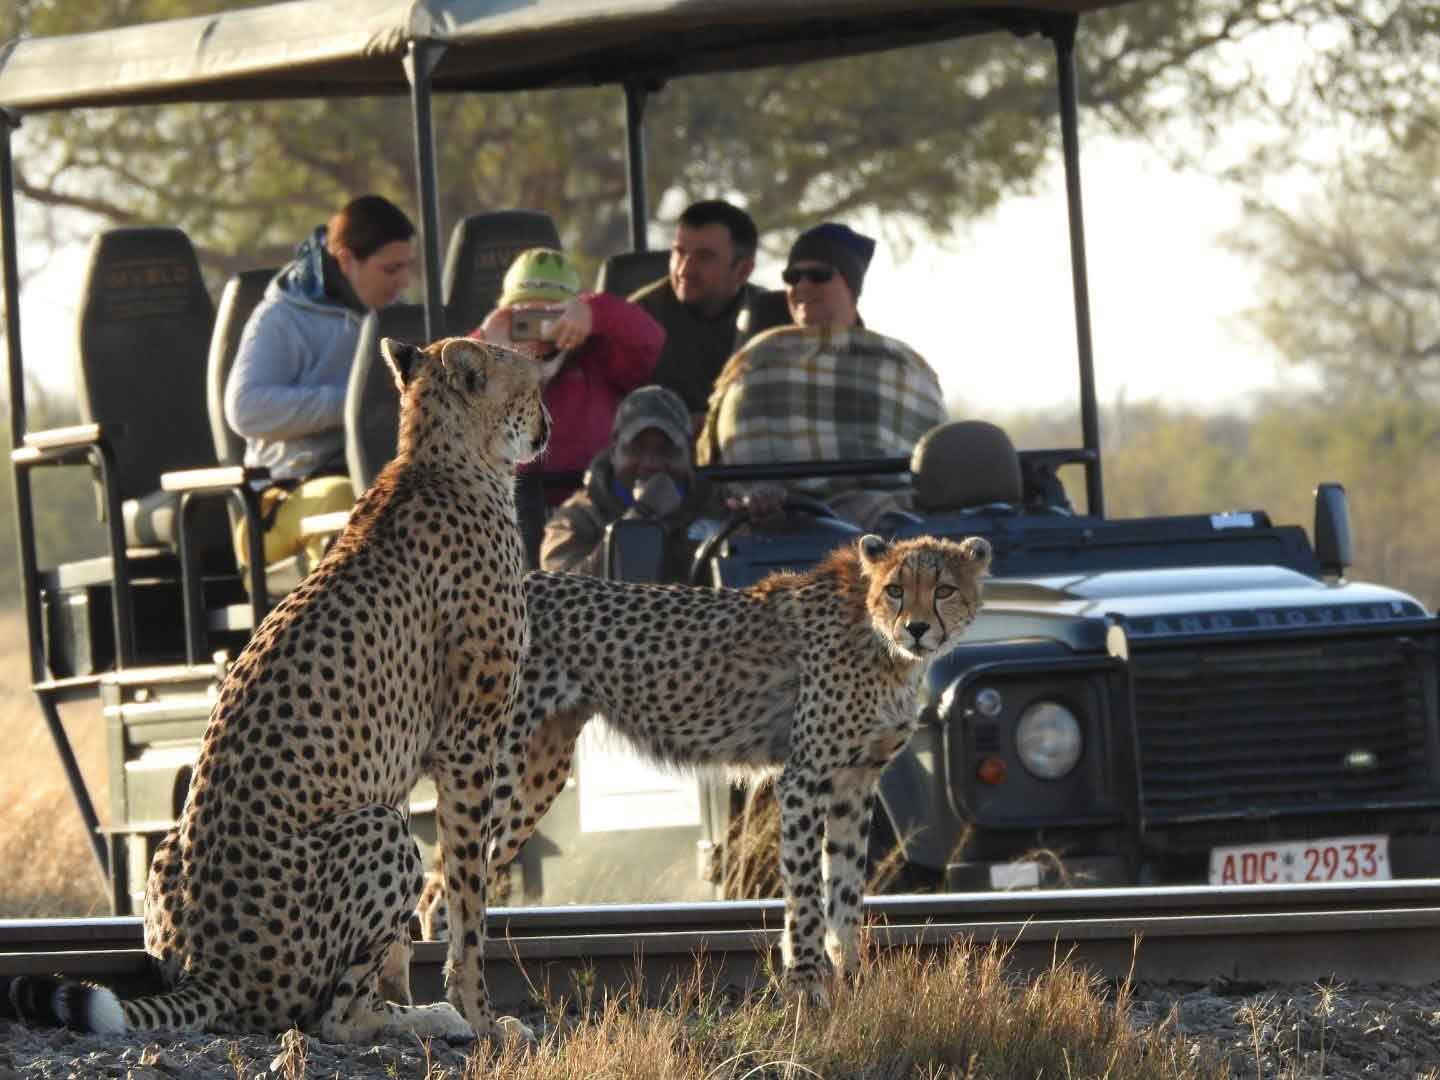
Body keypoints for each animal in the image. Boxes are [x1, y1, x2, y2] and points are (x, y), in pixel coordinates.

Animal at [0, 339, 544, 1048]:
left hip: (176, 845)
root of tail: (213, 969)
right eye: (536, 387)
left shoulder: (428, 759)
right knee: (333, 1020)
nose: (548, 426)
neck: (440, 455)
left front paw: (414, 988)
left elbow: (418, 926)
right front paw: (481, 1015)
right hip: (380, 828)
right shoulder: (468, 748)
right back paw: (424, 1017)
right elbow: (467, 898)